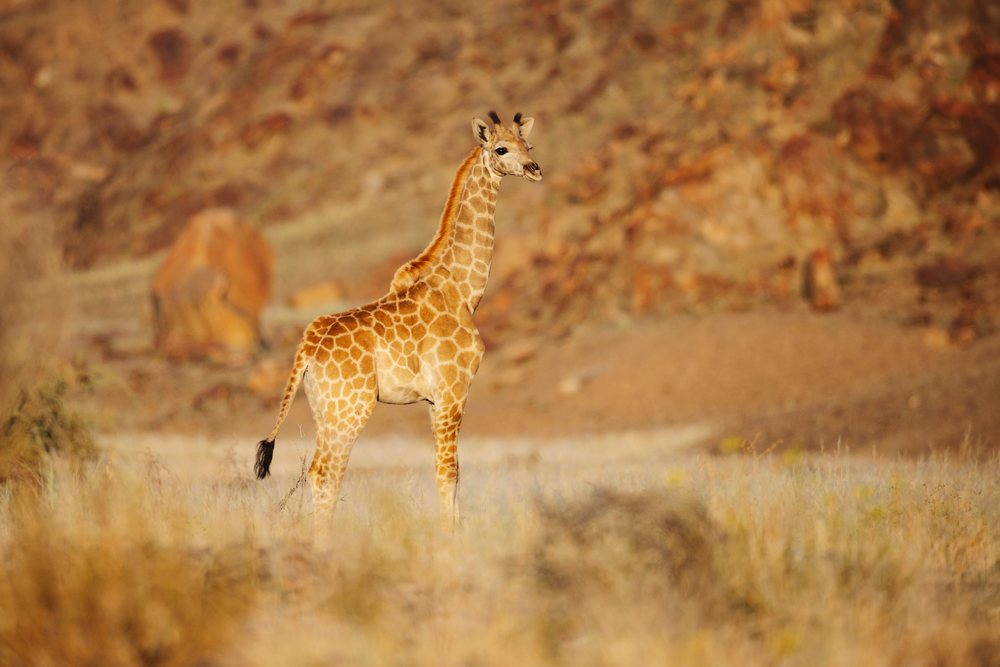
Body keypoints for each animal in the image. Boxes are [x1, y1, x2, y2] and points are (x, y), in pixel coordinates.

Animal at [255, 111, 542, 530]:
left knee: (316, 471)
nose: (535, 169)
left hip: (324, 408)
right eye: (501, 148)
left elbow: (453, 470)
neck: (463, 291)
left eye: (528, 145)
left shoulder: (434, 400)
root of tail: (307, 348)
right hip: (352, 407)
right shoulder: (454, 391)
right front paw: (448, 538)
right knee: (327, 472)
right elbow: (447, 473)